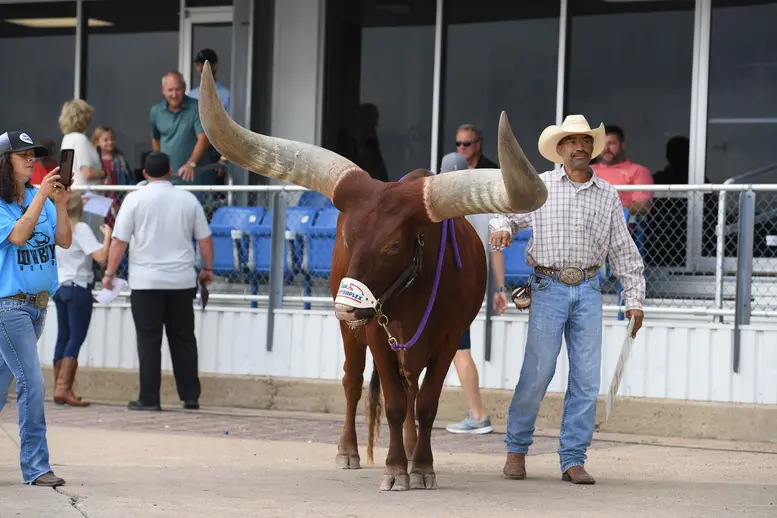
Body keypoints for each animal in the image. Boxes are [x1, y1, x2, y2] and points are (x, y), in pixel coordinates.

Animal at [196, 62, 548, 491]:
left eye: (394, 244)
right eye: (347, 237)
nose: (345, 308)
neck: (415, 290)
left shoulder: (449, 339)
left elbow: (426, 404)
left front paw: (422, 467)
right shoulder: (378, 335)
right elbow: (393, 403)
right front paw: (396, 470)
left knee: (411, 388)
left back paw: (412, 449)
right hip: (355, 335)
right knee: (353, 381)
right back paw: (348, 451)